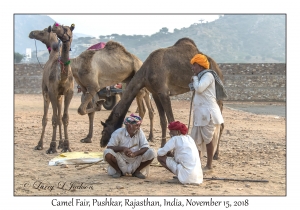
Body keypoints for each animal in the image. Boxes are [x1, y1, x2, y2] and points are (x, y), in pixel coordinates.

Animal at [27, 23, 75, 153]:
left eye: (67, 28)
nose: (32, 33)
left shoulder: (69, 93)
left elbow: (64, 118)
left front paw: (66, 146)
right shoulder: (52, 92)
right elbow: (53, 119)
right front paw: (52, 146)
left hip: (58, 97)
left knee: (58, 117)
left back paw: (60, 143)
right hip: (45, 92)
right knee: (46, 118)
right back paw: (40, 144)